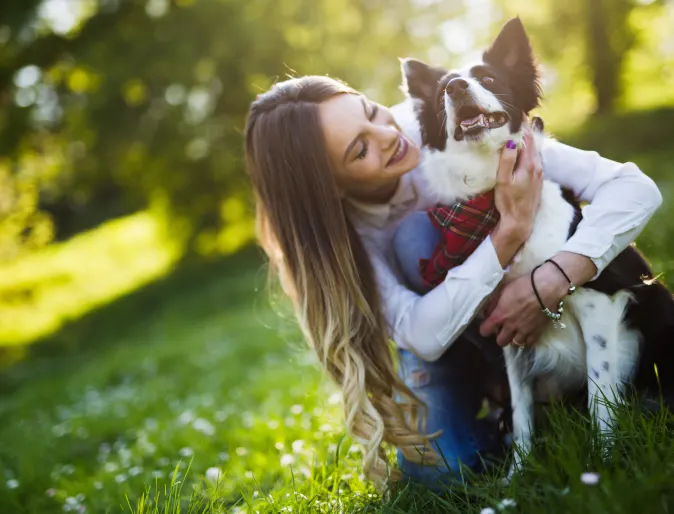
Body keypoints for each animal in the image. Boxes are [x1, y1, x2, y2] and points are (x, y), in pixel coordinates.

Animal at [400, 18, 672, 478]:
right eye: (440, 95)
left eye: (488, 79)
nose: (455, 86)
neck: (493, 199)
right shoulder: (507, 329)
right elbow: (522, 411)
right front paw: (518, 475)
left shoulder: (601, 303)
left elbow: (600, 396)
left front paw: (606, 462)